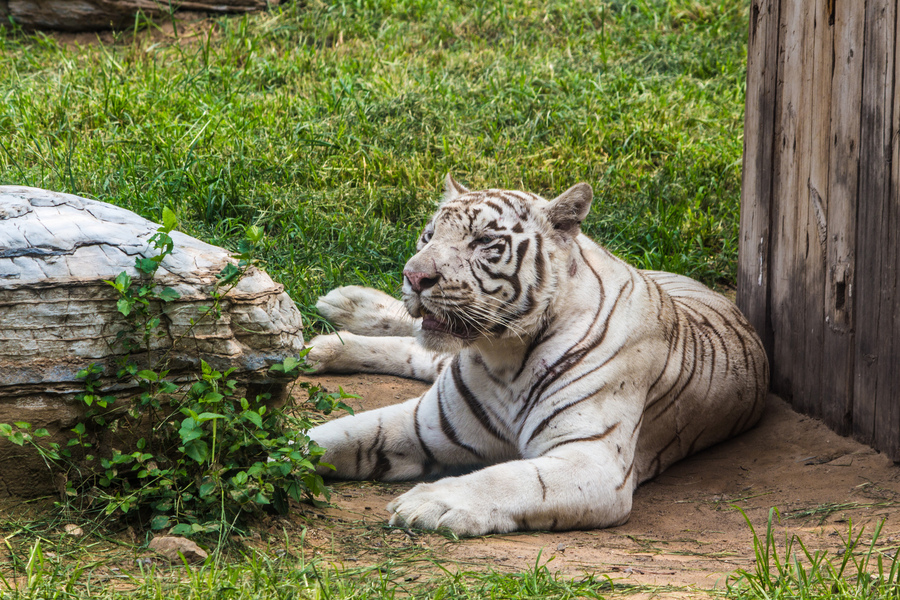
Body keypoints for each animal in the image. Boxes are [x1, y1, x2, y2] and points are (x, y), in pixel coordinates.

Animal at [308, 176, 768, 536]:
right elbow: (336, 436)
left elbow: (508, 480)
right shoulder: (423, 424)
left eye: (483, 241)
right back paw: (337, 318)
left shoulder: (592, 459)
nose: (414, 276)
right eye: (428, 236)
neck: (503, 357)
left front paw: (429, 503)